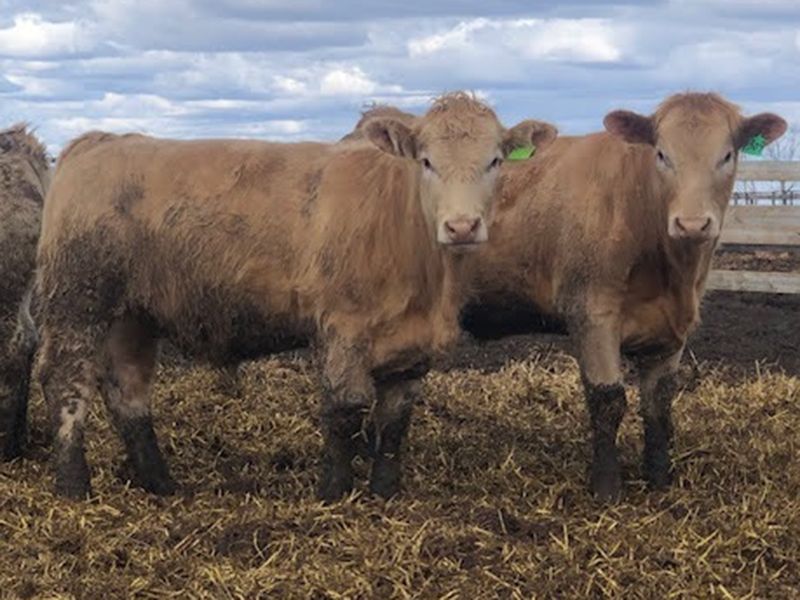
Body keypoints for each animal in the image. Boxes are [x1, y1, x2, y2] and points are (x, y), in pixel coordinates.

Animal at [31, 92, 558, 500]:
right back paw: (75, 485)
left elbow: (394, 421)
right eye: (427, 162)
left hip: (132, 315)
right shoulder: (342, 328)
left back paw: (160, 482)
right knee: (67, 382)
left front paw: (384, 492)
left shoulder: (413, 350)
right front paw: (333, 493)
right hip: (77, 300)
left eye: (494, 161)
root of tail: (100, 141)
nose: (462, 226)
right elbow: (344, 409)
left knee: (128, 390)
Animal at [467, 93, 787, 501]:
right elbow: (608, 401)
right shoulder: (591, 314)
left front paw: (659, 478)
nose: (692, 224)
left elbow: (658, 405)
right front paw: (606, 488)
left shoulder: (673, 329)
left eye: (727, 155)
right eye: (662, 154)